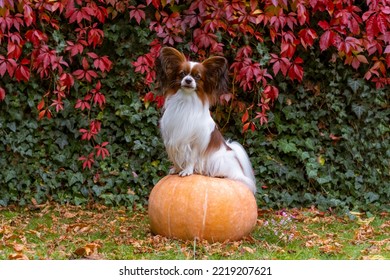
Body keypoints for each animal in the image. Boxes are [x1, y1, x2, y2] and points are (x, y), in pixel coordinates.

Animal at [155, 47, 256, 194]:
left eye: (197, 76)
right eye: (182, 74)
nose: (188, 80)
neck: (185, 102)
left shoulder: (196, 141)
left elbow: (191, 158)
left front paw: (187, 171)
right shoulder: (174, 138)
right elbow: (176, 157)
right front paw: (177, 169)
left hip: (220, 161)